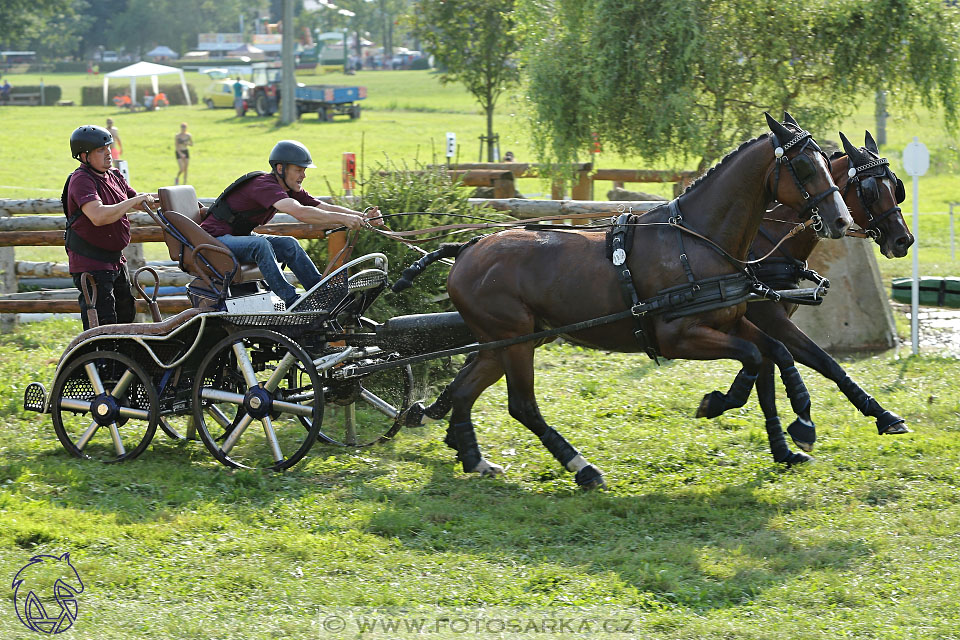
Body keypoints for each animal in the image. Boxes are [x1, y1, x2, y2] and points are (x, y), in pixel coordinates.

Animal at [394, 112, 852, 488]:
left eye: (827, 163)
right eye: (805, 166)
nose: (841, 220)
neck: (697, 242)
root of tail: (465, 249)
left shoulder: (731, 320)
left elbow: (775, 351)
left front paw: (802, 422)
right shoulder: (678, 337)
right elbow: (756, 358)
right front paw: (718, 402)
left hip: (506, 341)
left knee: (466, 389)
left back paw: (475, 459)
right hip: (515, 341)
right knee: (522, 406)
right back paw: (582, 468)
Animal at [696, 130, 916, 462]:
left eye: (895, 186)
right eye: (870, 190)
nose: (904, 239)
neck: (766, 246)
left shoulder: (769, 324)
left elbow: (766, 384)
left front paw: (781, 450)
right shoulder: (770, 319)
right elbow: (825, 362)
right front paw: (880, 414)